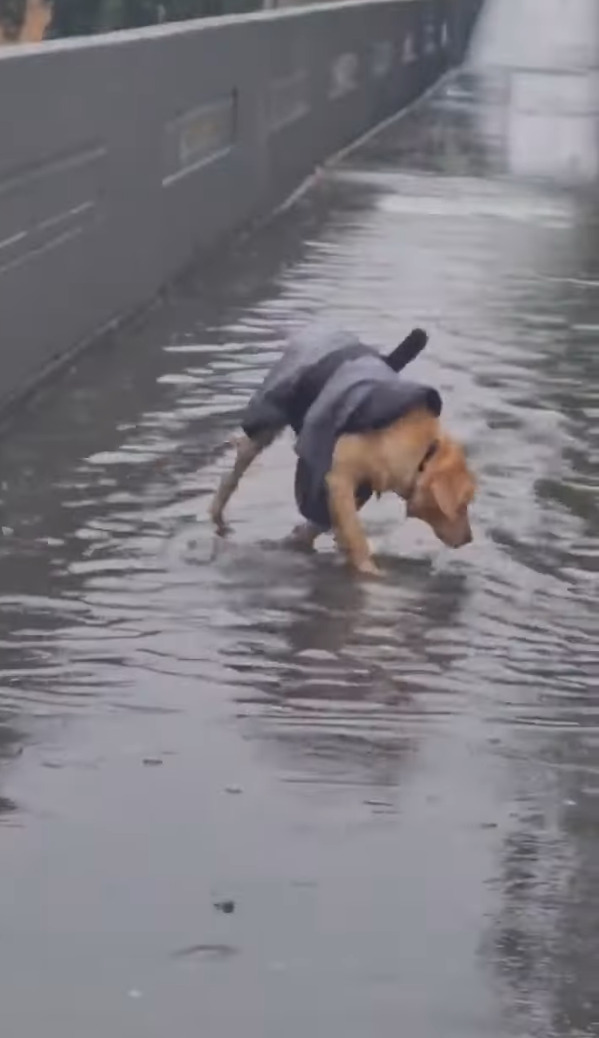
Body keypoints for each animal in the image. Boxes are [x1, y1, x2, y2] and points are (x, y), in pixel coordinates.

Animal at [209, 323, 477, 577]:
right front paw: (369, 572)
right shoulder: (335, 478)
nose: (469, 539)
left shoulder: (355, 489)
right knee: (233, 472)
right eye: (462, 503)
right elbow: (353, 536)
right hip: (265, 425)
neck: (420, 448)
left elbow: (325, 525)